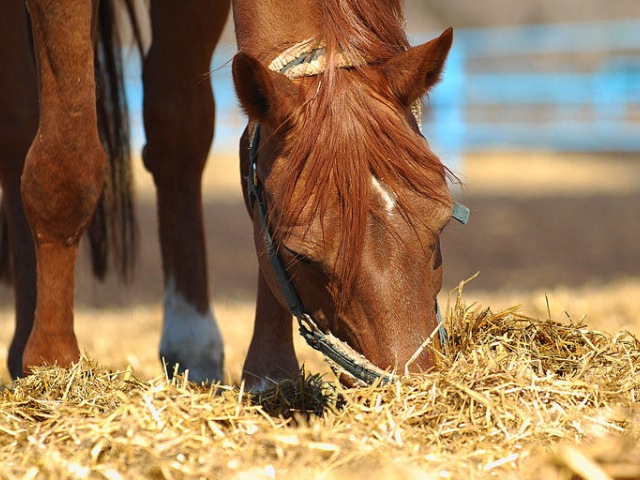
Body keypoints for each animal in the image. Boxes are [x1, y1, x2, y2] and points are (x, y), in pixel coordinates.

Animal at [0, 0, 460, 388]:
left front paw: (270, 373)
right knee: (21, 127)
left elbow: (189, 132)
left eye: (440, 227)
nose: (412, 384)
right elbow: (67, 165)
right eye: (301, 255)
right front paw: (54, 364)